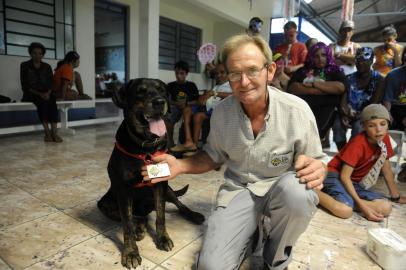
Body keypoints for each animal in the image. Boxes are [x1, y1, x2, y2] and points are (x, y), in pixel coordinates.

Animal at [97, 77, 205, 268]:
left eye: (162, 91)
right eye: (140, 91)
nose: (160, 102)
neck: (145, 148)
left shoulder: (161, 184)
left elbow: (161, 215)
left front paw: (163, 238)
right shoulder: (123, 190)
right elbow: (126, 223)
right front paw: (130, 252)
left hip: (168, 191)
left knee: (178, 205)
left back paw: (192, 215)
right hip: (105, 203)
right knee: (134, 216)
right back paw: (138, 227)